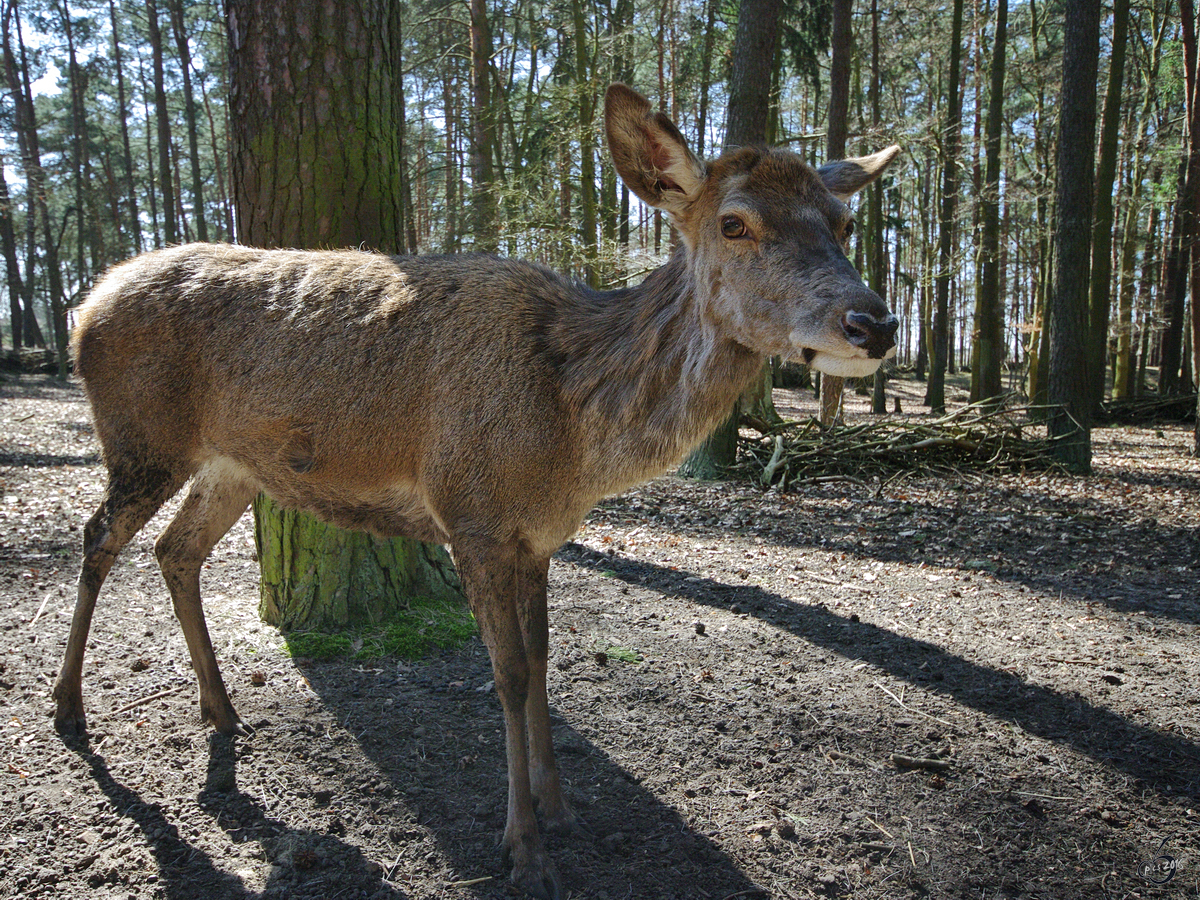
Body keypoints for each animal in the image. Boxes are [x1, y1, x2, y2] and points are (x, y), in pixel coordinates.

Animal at [54, 86, 902, 900]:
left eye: (843, 220)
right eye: (734, 222)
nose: (875, 322)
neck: (571, 437)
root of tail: (83, 306)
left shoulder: (538, 537)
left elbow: (545, 656)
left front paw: (562, 808)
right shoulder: (473, 515)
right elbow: (509, 672)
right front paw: (525, 849)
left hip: (230, 466)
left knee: (175, 550)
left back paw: (221, 709)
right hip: (139, 437)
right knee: (97, 538)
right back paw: (69, 710)